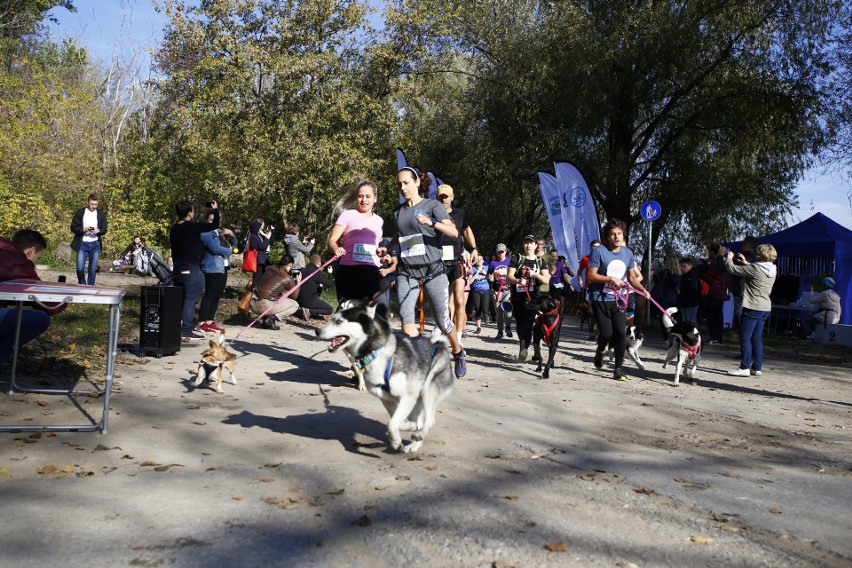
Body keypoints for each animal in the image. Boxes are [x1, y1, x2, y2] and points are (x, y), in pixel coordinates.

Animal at [316, 298, 456, 452]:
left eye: (339, 321)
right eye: (334, 317)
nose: (317, 330)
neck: (376, 352)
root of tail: (439, 345)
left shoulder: (408, 395)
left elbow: (393, 423)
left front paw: (397, 439)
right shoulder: (387, 398)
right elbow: (396, 421)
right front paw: (402, 433)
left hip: (428, 390)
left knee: (430, 420)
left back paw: (419, 435)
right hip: (417, 401)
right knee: (419, 420)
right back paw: (413, 444)